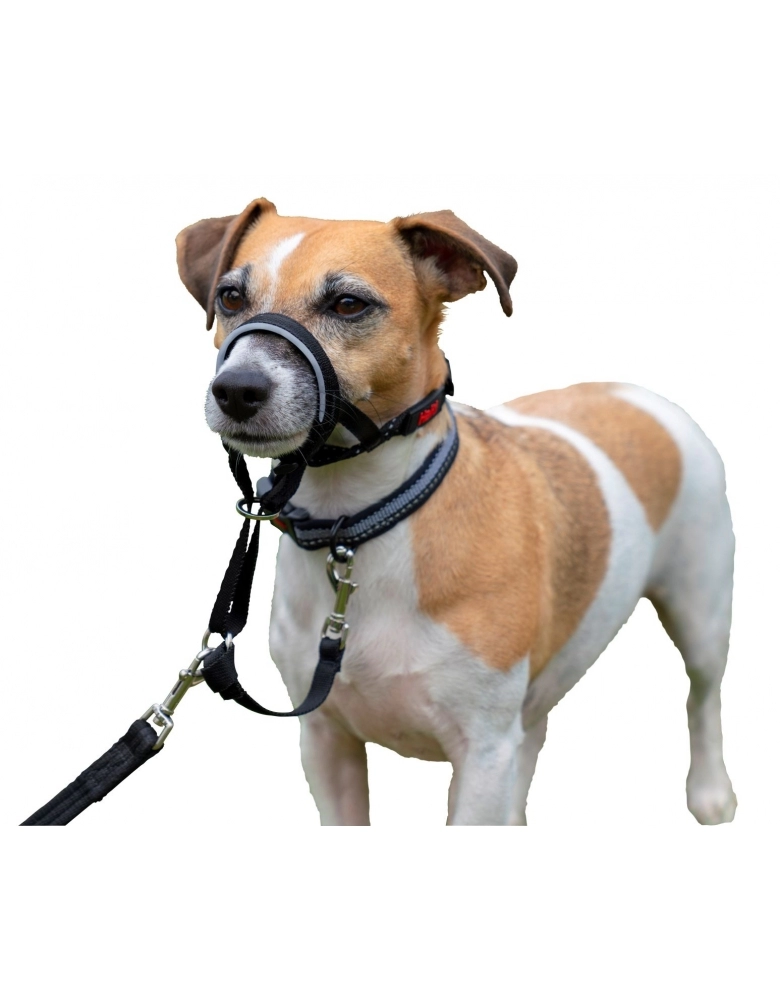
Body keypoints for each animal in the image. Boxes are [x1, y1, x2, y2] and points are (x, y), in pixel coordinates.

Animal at [175, 198, 737, 825]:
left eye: (348, 304)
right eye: (231, 297)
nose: (236, 390)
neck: (364, 524)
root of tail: (635, 392)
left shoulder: (483, 756)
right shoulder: (325, 741)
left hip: (702, 610)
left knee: (703, 695)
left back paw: (710, 791)